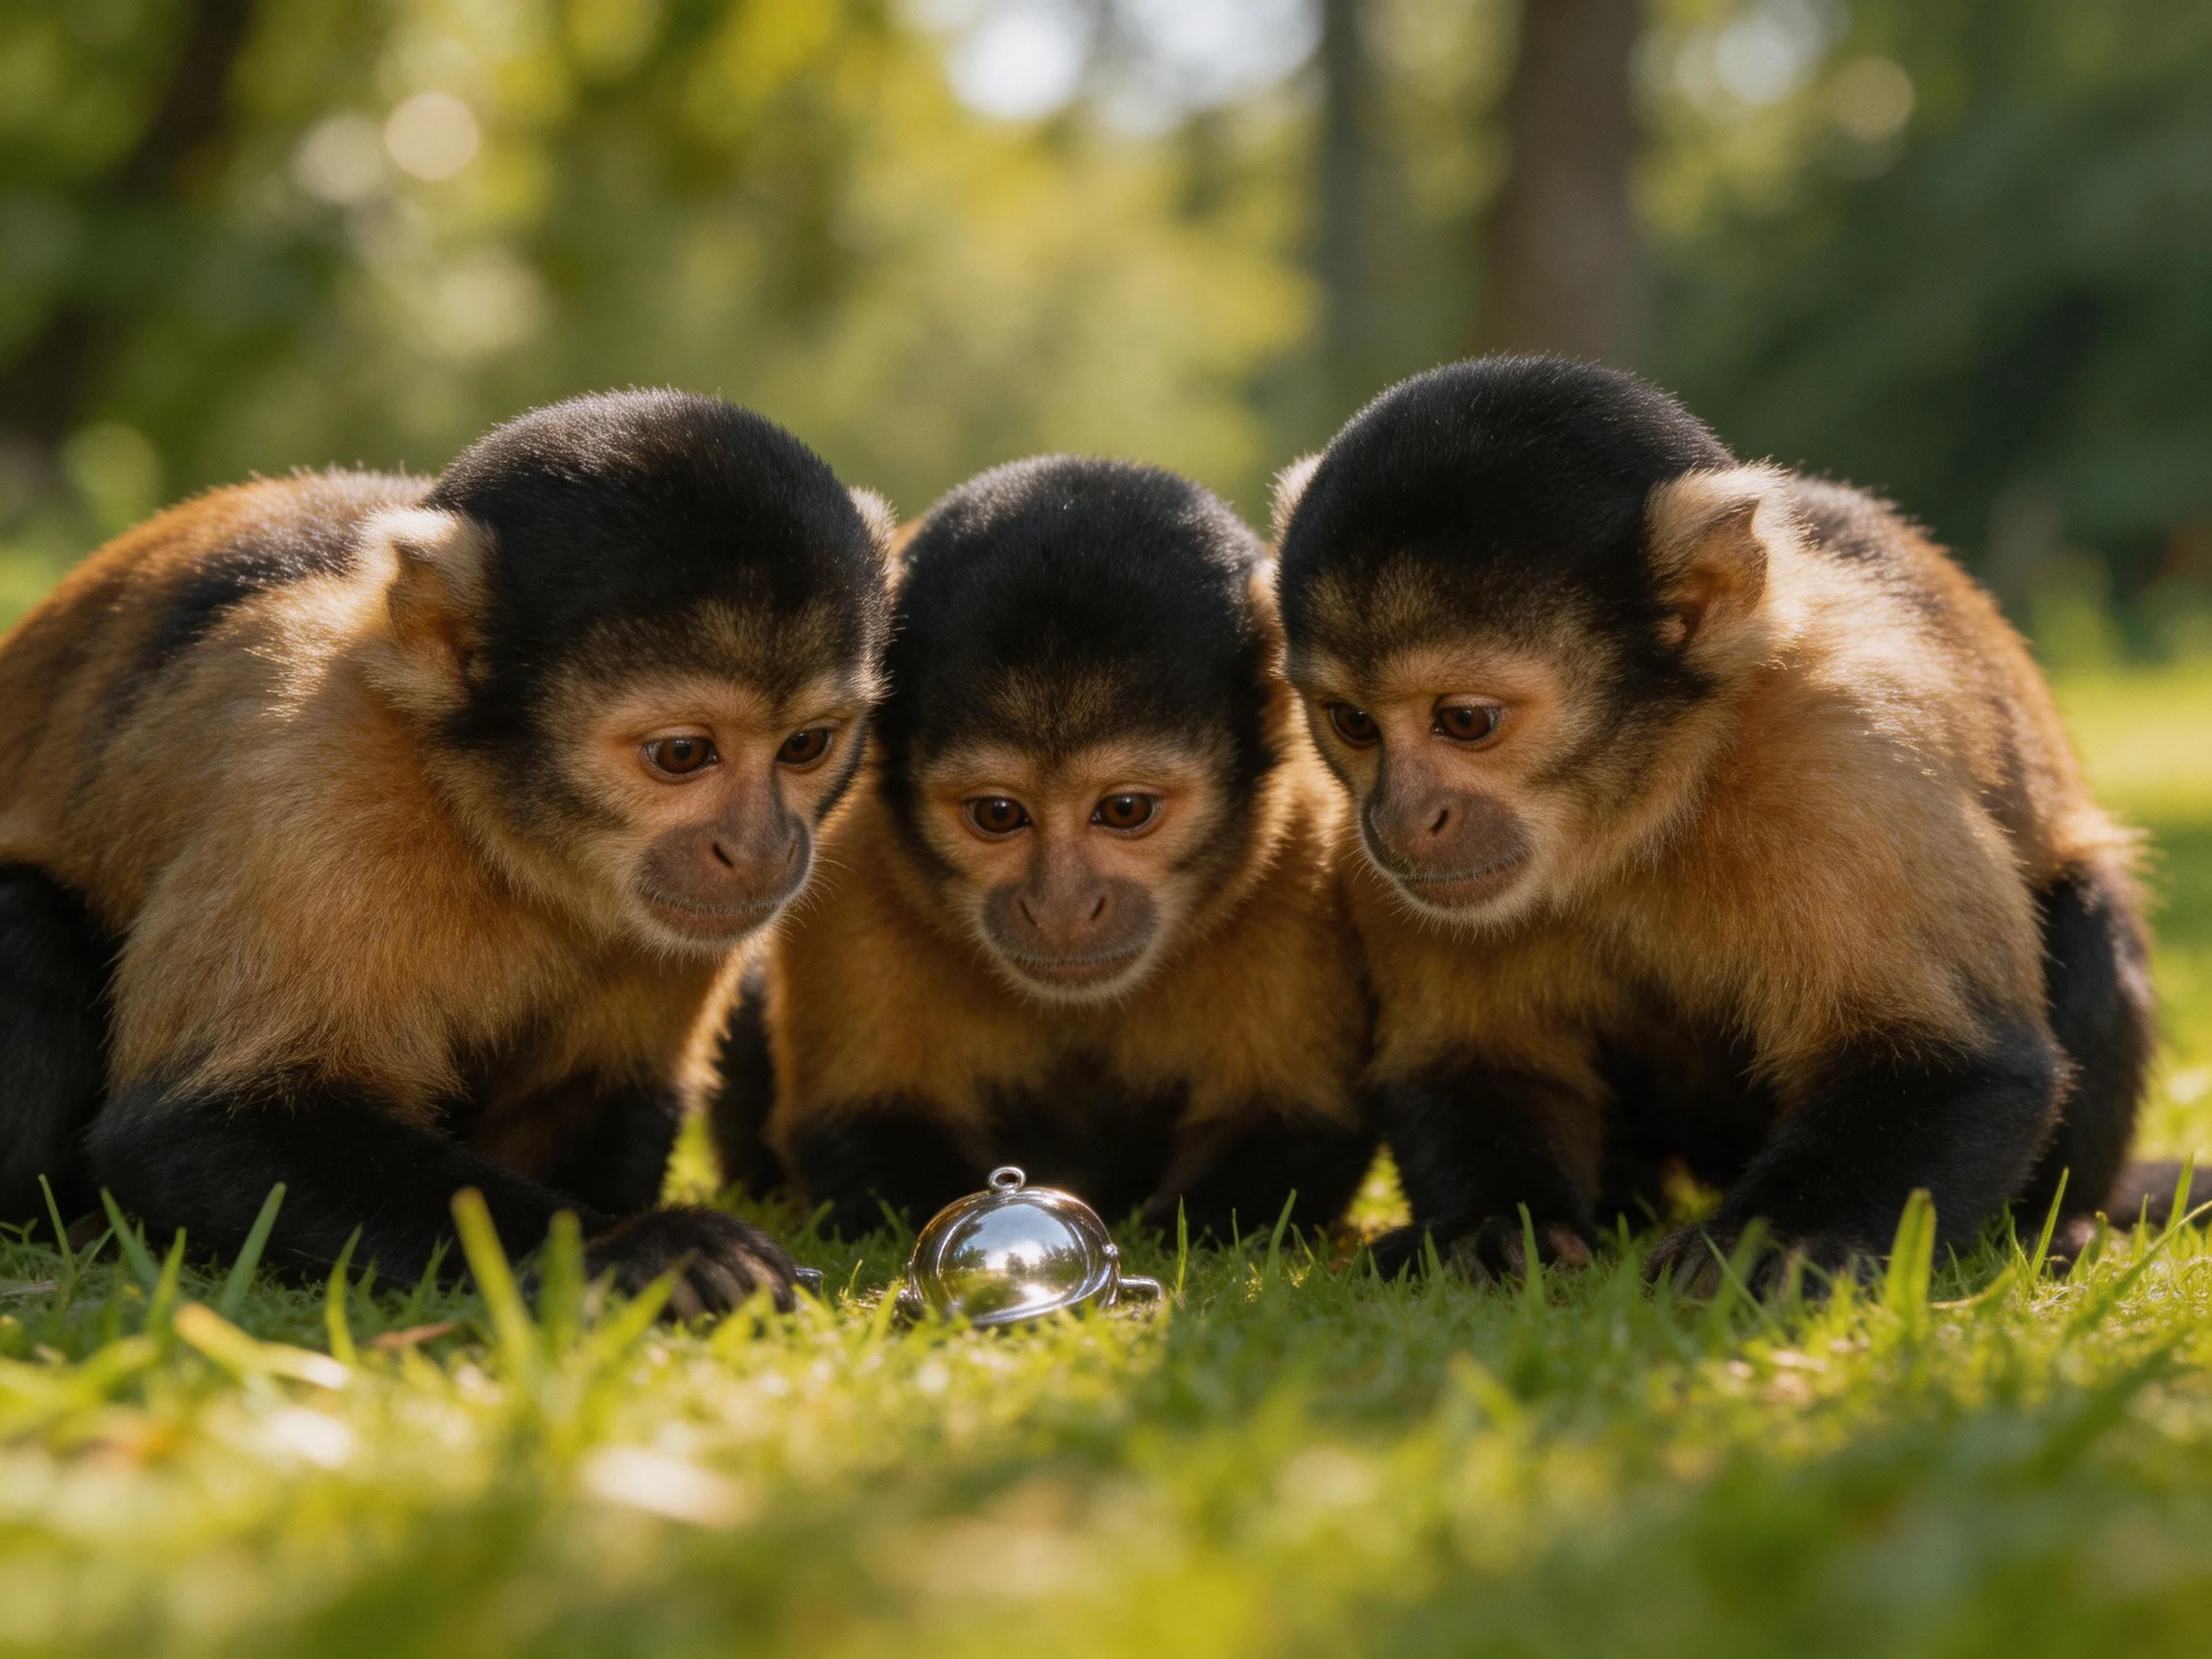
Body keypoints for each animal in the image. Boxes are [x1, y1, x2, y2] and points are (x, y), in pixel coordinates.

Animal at [0, 390, 894, 1312]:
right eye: (684, 754)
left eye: (805, 746)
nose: (760, 847)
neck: (492, 822)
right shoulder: (321, 763)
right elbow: (188, 1127)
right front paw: (646, 1251)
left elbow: (601, 1090)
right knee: (22, 918)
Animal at [709, 456, 1376, 1242]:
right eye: (1000, 814)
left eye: (1124, 810)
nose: (1062, 908)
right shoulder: (856, 854)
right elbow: (859, 1128)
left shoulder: (1300, 848)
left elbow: (1297, 1127)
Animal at [1269, 355, 2161, 1289]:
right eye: (1354, 724)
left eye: (1465, 721)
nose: (1403, 817)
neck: (1643, 802)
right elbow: (1472, 1061)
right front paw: (1485, 1226)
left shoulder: (1844, 755)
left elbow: (1957, 1066)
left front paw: (1780, 1241)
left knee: (2086, 905)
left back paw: (2052, 1225)